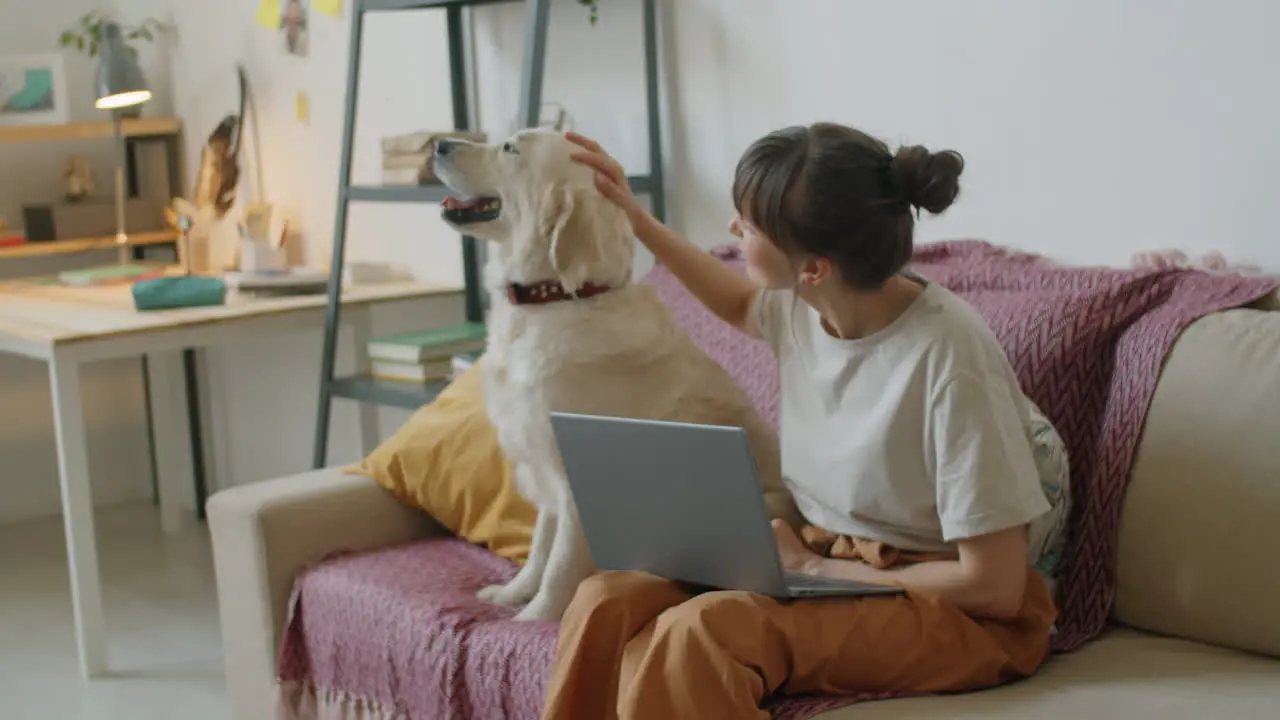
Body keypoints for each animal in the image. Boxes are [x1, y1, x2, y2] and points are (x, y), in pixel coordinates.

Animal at [435, 127, 793, 617]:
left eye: (510, 148)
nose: (438, 145)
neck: (560, 298)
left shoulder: (571, 479)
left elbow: (560, 562)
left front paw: (535, 616)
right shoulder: (544, 465)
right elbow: (539, 547)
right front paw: (512, 593)